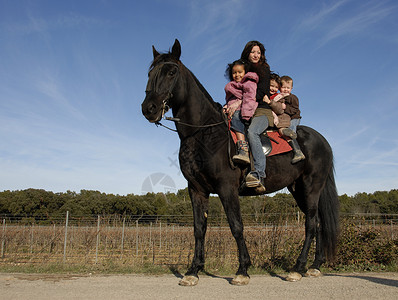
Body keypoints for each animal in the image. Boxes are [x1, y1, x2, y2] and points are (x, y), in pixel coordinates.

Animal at [141, 39, 338, 286]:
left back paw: (297, 267)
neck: (204, 134)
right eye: (150, 73)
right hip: (298, 189)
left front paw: (243, 269)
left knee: (311, 224)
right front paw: (193, 270)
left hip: (311, 187)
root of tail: (322, 140)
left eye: (171, 72)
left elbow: (236, 226)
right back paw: (314, 266)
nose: (148, 108)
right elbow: (199, 229)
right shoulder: (196, 190)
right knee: (319, 223)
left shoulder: (227, 189)